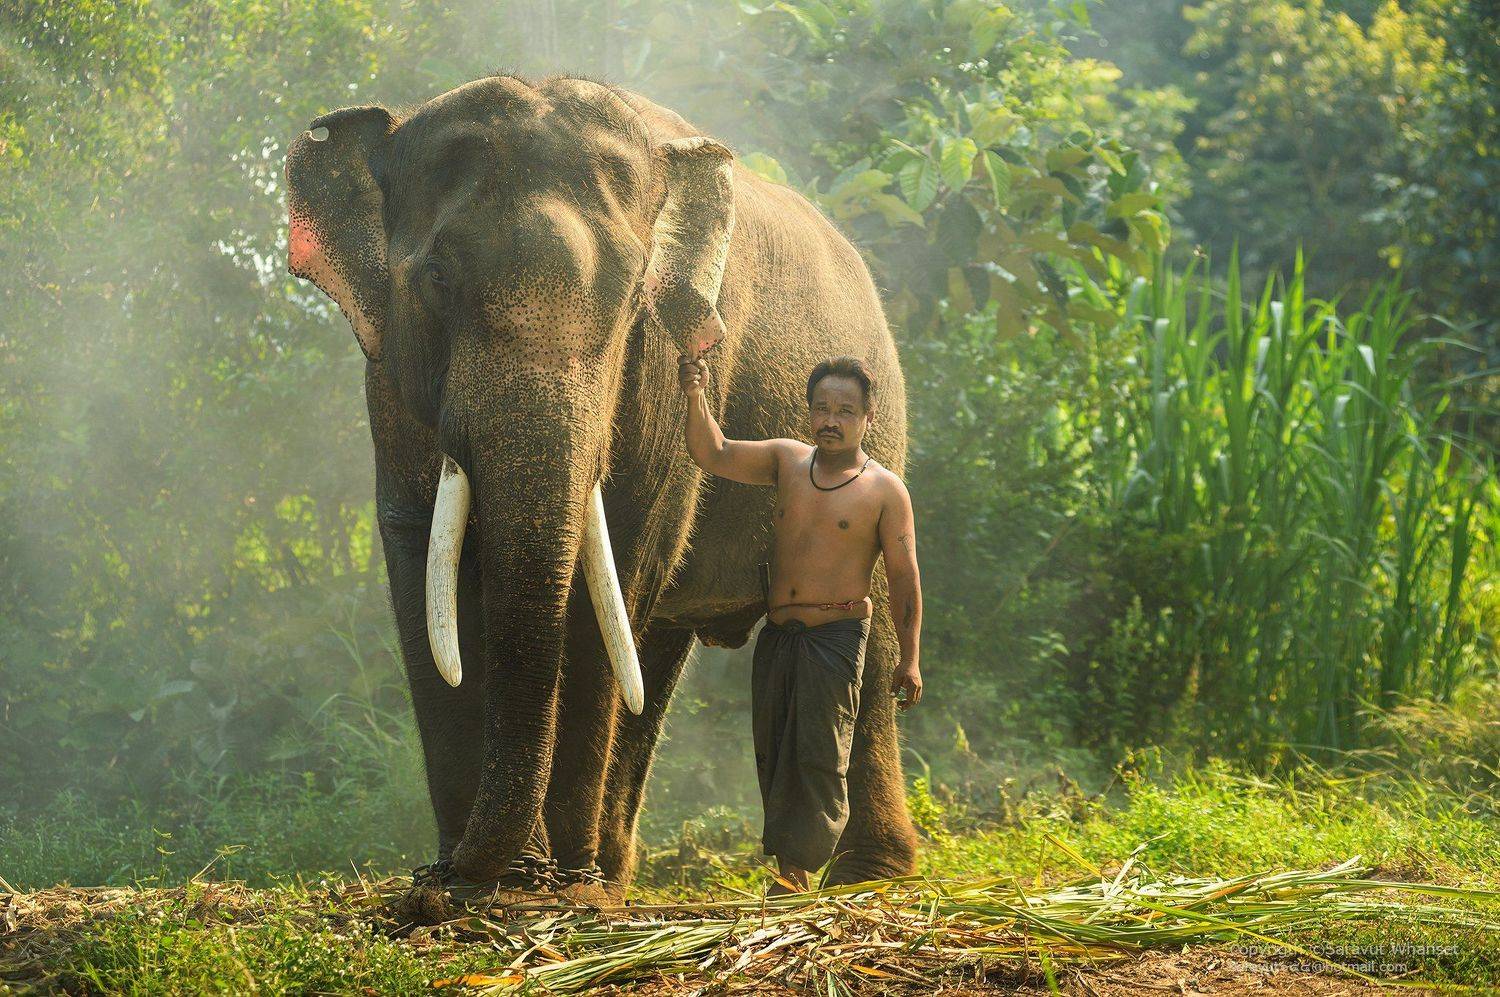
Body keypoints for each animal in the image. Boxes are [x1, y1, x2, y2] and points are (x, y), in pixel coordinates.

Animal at [284, 72, 918, 896]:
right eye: (436, 279)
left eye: (629, 296)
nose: (444, 873)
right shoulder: (387, 376)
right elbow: (423, 566)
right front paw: (472, 880)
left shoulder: (664, 377)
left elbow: (612, 569)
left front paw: (552, 881)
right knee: (657, 653)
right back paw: (617, 866)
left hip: (885, 433)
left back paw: (862, 874)